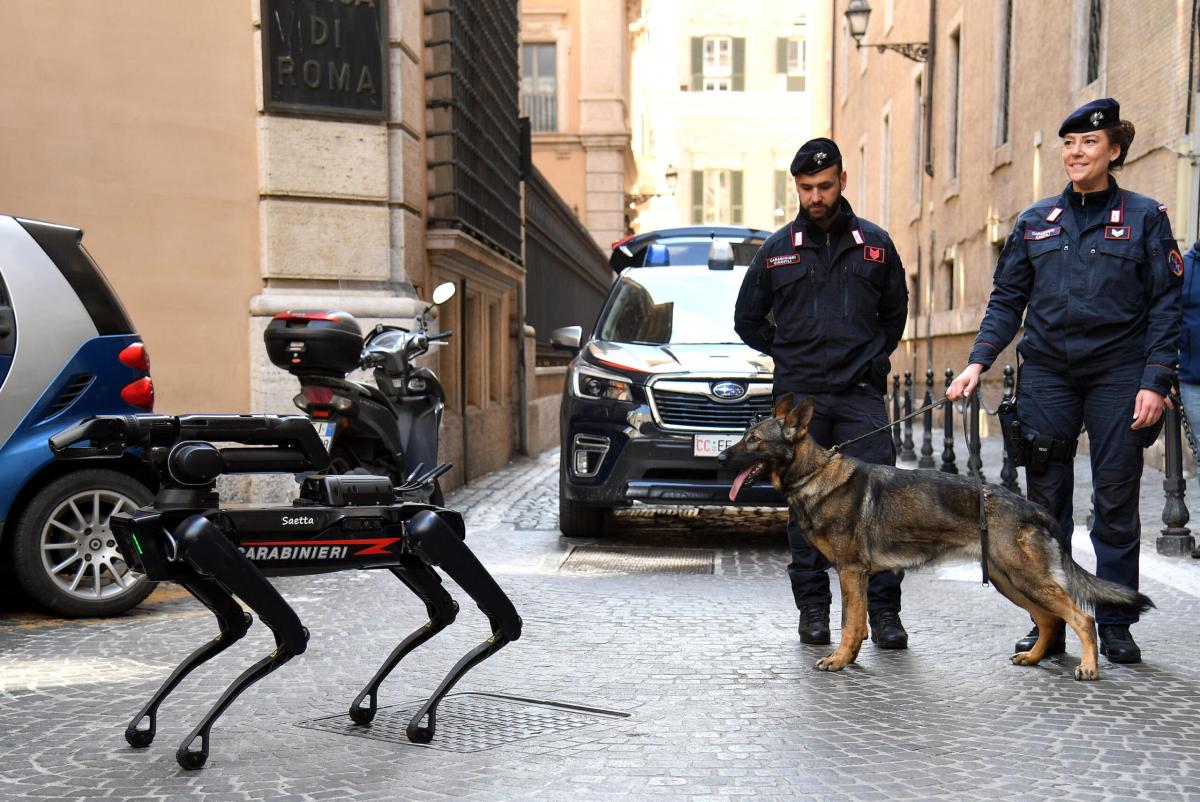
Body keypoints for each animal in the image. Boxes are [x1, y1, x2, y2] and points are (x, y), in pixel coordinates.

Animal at [720, 393, 1152, 677]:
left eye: (754, 440)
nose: (722, 456)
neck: (814, 473)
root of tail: (1034, 509)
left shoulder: (851, 573)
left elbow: (851, 623)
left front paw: (841, 660)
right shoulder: (852, 575)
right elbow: (856, 624)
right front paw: (850, 658)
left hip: (1026, 579)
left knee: (1081, 618)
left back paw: (1089, 667)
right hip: (1009, 581)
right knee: (1049, 621)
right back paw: (1033, 659)